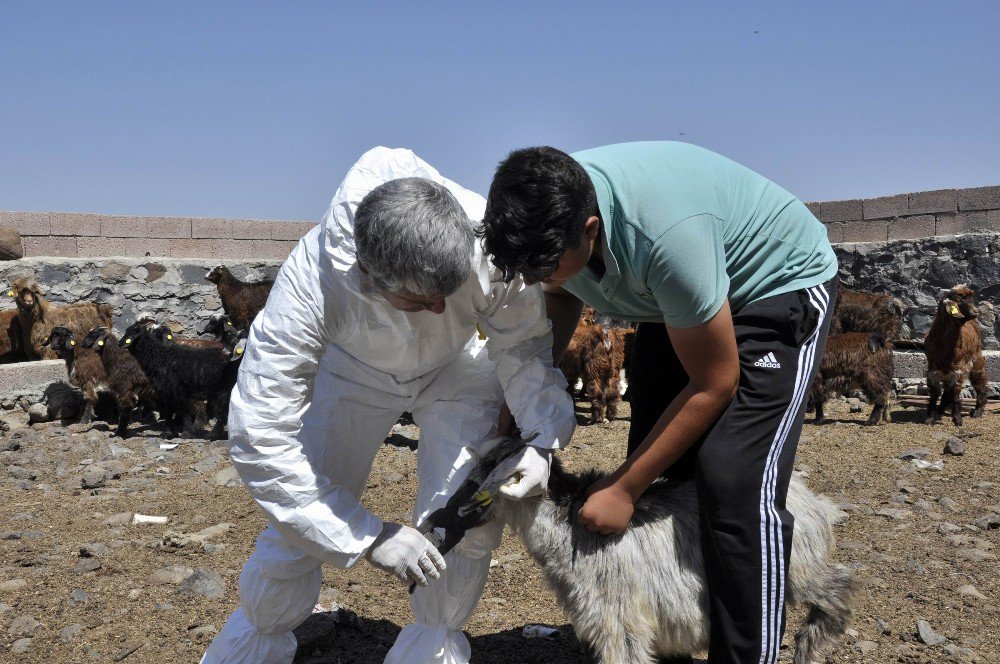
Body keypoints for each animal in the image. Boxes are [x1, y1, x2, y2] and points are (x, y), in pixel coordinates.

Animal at [450, 436, 856, 664]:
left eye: (491, 468)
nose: (458, 505)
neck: (566, 525)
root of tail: (809, 499)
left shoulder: (619, 618)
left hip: (796, 567)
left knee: (839, 582)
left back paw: (812, 644)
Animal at [920, 286, 992, 426]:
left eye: (970, 299)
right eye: (959, 300)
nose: (976, 311)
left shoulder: (958, 370)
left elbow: (955, 394)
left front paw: (957, 419)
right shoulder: (933, 370)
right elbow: (935, 393)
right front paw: (930, 417)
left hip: (976, 360)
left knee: (980, 382)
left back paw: (978, 411)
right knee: (947, 390)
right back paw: (940, 410)